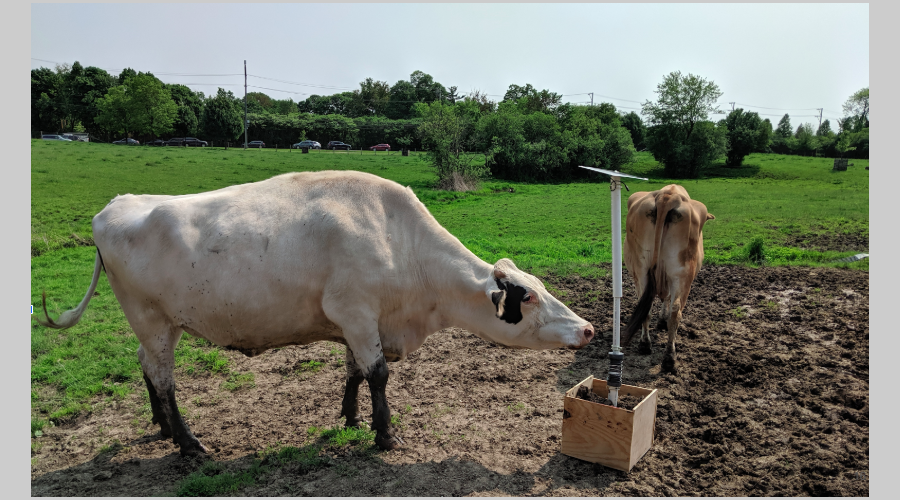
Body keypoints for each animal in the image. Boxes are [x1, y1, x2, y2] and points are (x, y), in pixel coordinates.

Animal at [36, 170, 595, 456]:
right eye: (530, 298)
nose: (588, 328)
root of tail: (115, 206)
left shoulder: (357, 323)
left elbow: (354, 373)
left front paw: (350, 418)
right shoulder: (357, 313)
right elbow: (378, 374)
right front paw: (384, 434)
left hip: (161, 324)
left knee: (146, 368)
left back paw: (164, 429)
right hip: (151, 319)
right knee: (165, 378)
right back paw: (189, 443)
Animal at [621, 184, 714, 373]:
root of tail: (668, 194)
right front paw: (662, 321)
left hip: (641, 271)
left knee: (646, 308)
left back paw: (645, 345)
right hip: (682, 275)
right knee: (675, 313)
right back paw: (670, 358)